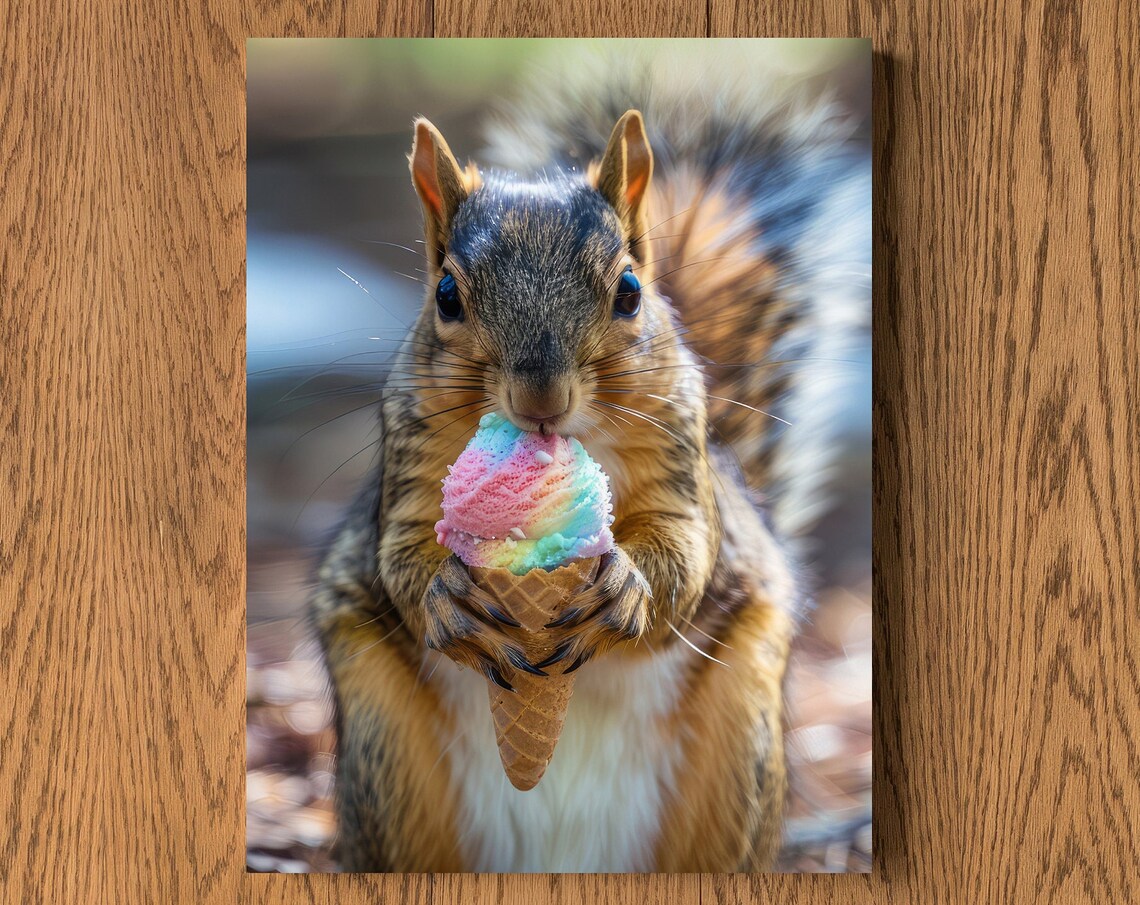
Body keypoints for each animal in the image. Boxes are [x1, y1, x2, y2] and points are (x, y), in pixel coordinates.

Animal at [309, 54, 870, 872]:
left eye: (630, 291)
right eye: (446, 294)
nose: (540, 397)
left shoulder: (680, 458)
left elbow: (686, 552)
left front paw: (628, 586)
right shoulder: (408, 466)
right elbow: (401, 555)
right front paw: (447, 596)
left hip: (740, 751)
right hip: (387, 762)